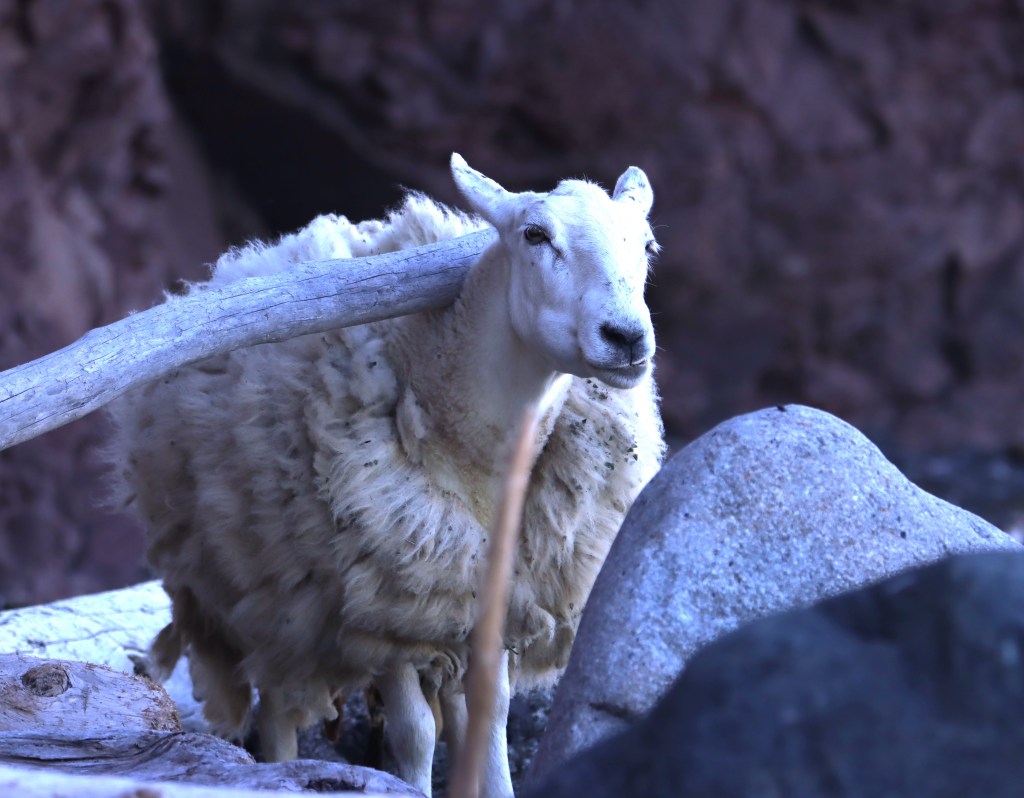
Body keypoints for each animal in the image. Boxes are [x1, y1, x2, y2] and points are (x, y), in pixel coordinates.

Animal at [108, 154, 666, 797]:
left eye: (647, 244)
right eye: (534, 235)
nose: (627, 337)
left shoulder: (497, 601)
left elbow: (493, 714)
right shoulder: (394, 607)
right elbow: (415, 733)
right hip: (268, 598)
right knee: (277, 710)